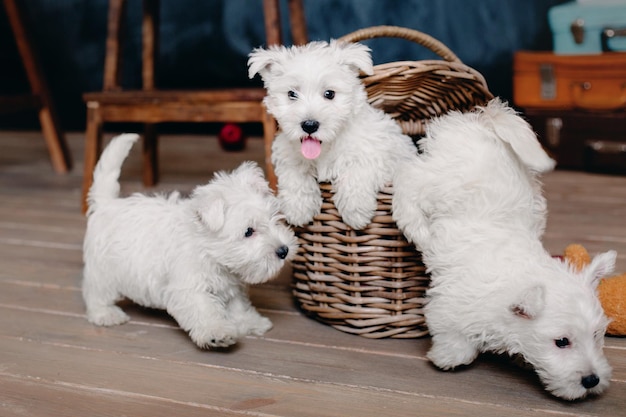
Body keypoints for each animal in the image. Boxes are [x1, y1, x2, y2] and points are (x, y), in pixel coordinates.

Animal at [83, 133, 298, 348]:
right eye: (248, 232)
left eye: (274, 218)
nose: (283, 250)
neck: (209, 251)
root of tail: (106, 203)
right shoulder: (189, 289)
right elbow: (205, 312)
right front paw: (217, 333)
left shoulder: (232, 287)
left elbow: (239, 307)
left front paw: (252, 323)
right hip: (103, 269)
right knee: (96, 293)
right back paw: (105, 314)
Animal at [246, 39, 416, 229]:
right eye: (291, 94)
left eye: (330, 94)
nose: (309, 125)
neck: (326, 146)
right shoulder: (288, 154)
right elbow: (294, 175)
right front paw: (298, 210)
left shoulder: (377, 155)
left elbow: (356, 172)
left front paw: (356, 212)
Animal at [390, 98, 616, 400]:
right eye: (562, 342)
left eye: (596, 335)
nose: (591, 380)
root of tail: (486, 119)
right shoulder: (449, 306)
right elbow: (453, 337)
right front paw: (448, 358)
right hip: (433, 179)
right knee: (407, 183)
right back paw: (419, 230)